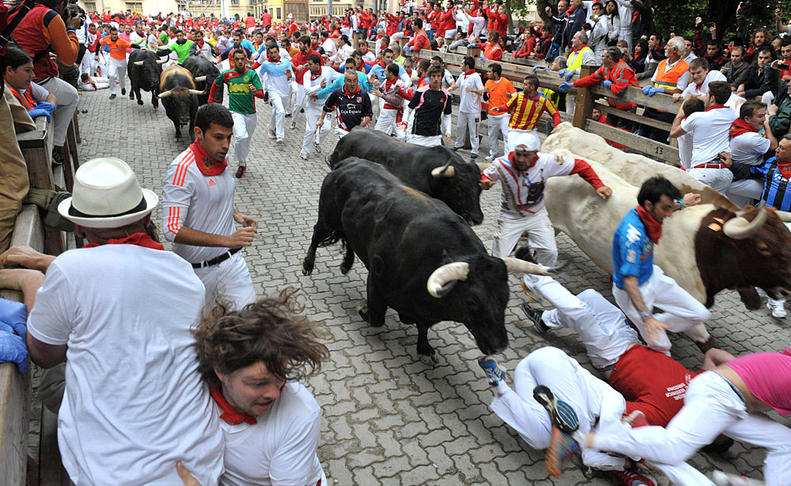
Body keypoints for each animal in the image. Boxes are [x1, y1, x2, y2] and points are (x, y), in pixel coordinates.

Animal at [300, 158, 548, 358]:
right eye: (472, 301)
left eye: (505, 298)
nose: (499, 346)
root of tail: (349, 163)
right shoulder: (377, 282)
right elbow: (376, 317)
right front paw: (363, 310)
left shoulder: (425, 310)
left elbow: (422, 326)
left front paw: (424, 348)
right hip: (327, 218)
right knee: (316, 234)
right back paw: (308, 265)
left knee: (348, 239)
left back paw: (346, 264)